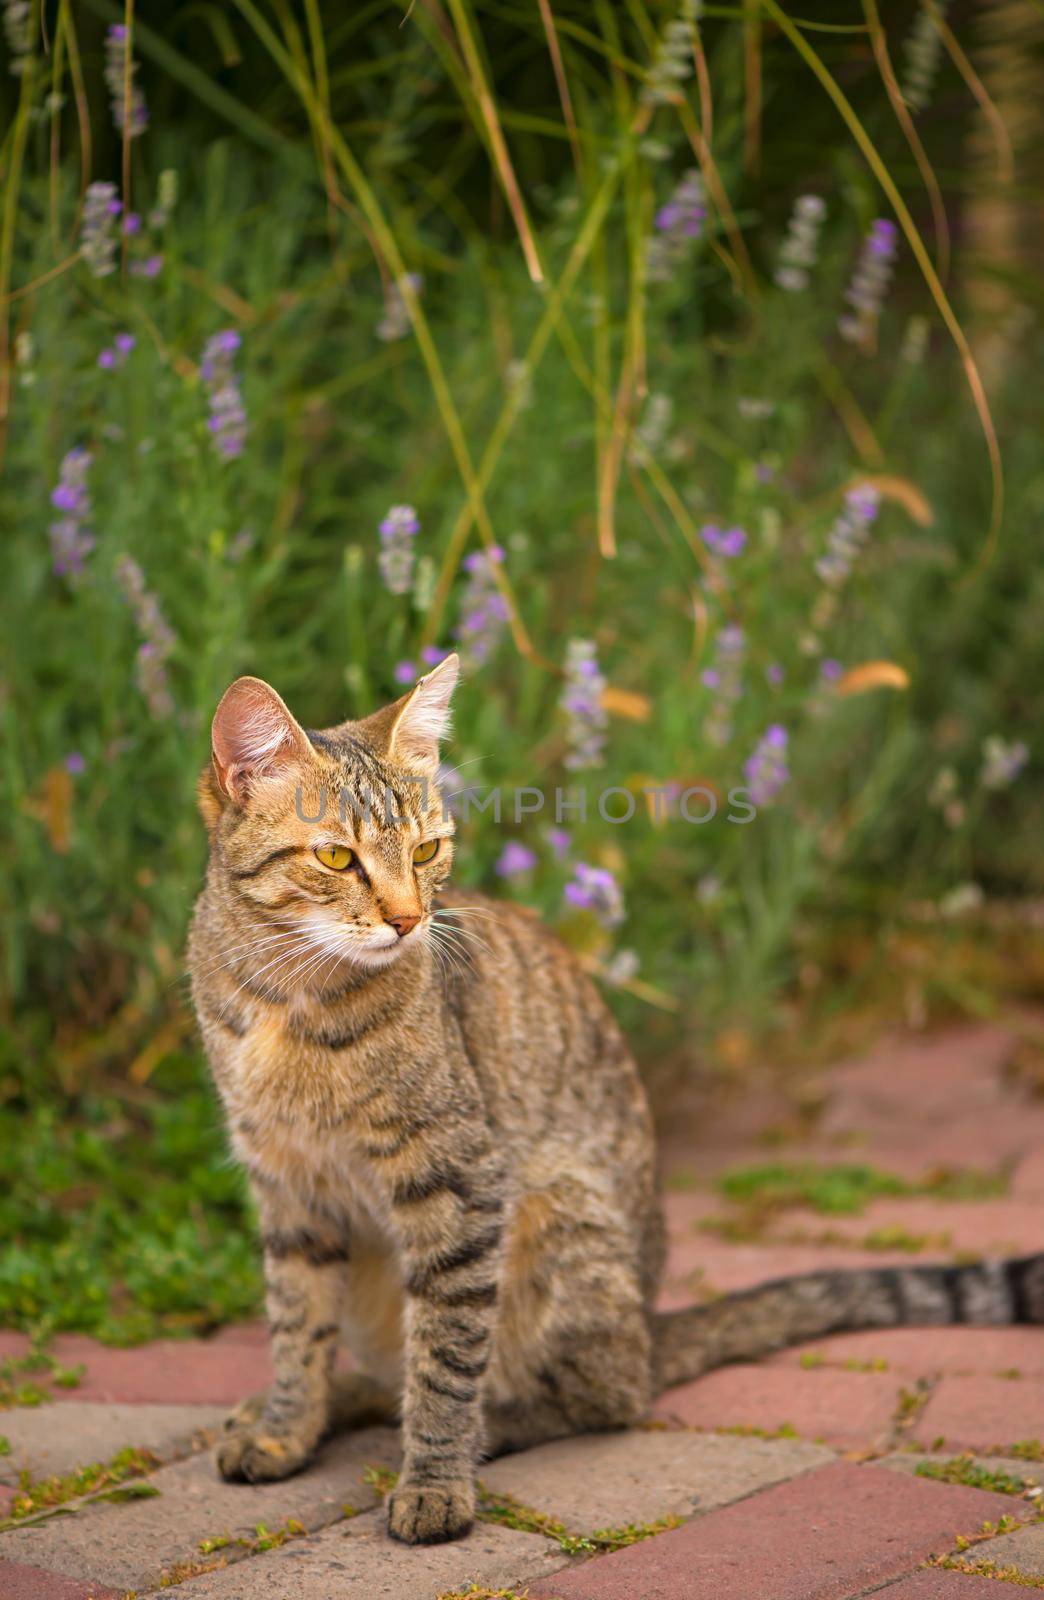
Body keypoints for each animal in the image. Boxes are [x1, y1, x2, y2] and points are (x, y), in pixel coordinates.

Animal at [191, 656, 1044, 1542]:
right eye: (335, 857)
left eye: (427, 849)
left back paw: (481, 1419)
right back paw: (344, 1398)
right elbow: (296, 1324)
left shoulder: (461, 1182)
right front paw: (288, 1425)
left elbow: (447, 1356)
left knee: (603, 1392)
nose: (409, 918)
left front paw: (434, 1480)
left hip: (558, 1216)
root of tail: (650, 1323)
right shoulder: (288, 1185)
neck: (287, 1002)